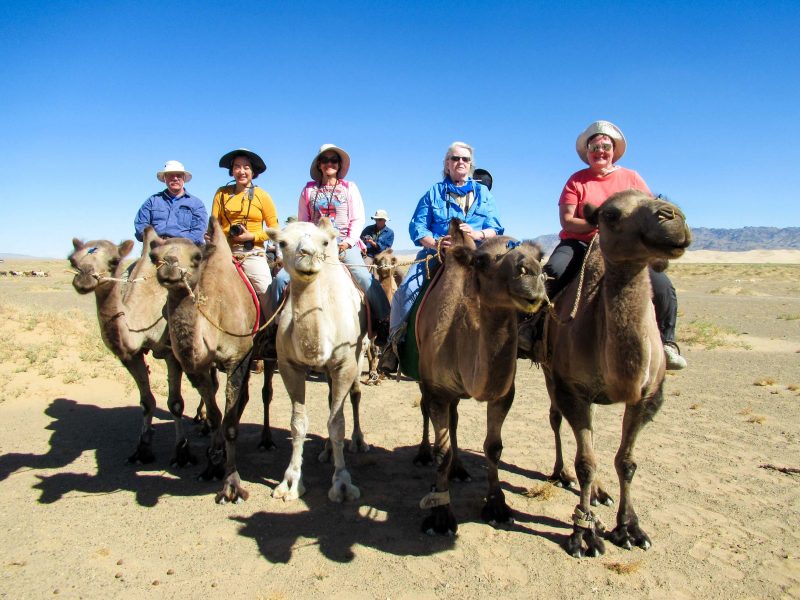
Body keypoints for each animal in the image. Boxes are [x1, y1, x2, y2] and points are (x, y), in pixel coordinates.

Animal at [69, 227, 194, 466]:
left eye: (114, 260)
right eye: (72, 260)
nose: (84, 278)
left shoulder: (171, 353)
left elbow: (175, 403)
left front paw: (182, 453)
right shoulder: (130, 356)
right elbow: (146, 402)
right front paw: (142, 449)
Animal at [150, 218, 272, 504]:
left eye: (196, 257)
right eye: (153, 256)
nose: (169, 266)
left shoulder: (238, 358)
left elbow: (229, 425)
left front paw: (232, 486)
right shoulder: (198, 367)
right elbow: (217, 416)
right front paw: (213, 466)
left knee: (265, 393)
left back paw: (266, 440)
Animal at [268, 218, 368, 504]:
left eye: (324, 242)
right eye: (282, 242)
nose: (309, 255)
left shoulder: (345, 364)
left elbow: (337, 423)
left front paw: (342, 483)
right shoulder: (289, 366)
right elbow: (298, 424)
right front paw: (290, 483)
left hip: (361, 354)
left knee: (354, 395)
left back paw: (358, 442)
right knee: (331, 398)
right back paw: (326, 451)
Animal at [416, 221, 548, 536]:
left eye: (540, 255)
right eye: (481, 261)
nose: (531, 272)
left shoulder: (504, 394)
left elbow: (493, 448)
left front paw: (498, 506)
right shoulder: (437, 390)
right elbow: (441, 451)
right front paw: (441, 517)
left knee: (454, 421)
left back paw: (459, 470)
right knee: (426, 411)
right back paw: (424, 456)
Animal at [548, 189, 692, 556]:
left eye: (656, 196)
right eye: (610, 215)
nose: (672, 216)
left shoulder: (647, 396)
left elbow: (626, 462)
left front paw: (629, 528)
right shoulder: (572, 388)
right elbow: (585, 463)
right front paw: (583, 534)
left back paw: (601, 493)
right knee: (557, 421)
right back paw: (561, 473)